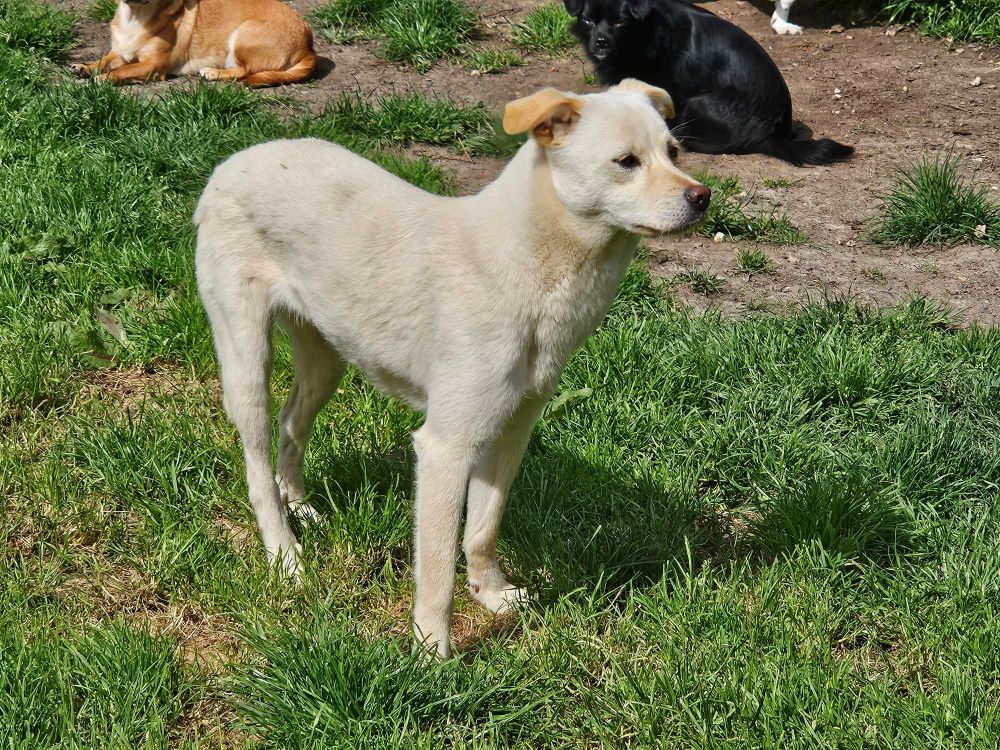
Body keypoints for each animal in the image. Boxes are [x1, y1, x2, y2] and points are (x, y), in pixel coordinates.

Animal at [72, 0, 314, 86]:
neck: (135, 17)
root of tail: (308, 44)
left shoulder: (152, 66)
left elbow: (123, 71)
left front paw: (104, 79)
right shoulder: (119, 53)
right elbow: (103, 61)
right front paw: (86, 67)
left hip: (242, 35)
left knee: (245, 70)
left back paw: (213, 73)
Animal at [195, 81, 712, 656]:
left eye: (674, 153)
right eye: (626, 162)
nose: (702, 196)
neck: (530, 269)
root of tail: (234, 161)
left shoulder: (510, 432)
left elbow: (482, 531)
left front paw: (491, 596)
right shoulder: (445, 448)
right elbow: (438, 566)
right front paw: (430, 650)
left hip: (325, 358)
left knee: (292, 423)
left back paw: (300, 503)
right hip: (246, 362)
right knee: (257, 464)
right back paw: (283, 549)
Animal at [568, 0, 856, 166]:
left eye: (620, 22)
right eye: (588, 20)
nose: (600, 42)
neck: (645, 31)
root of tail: (772, 132)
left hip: (700, 103)